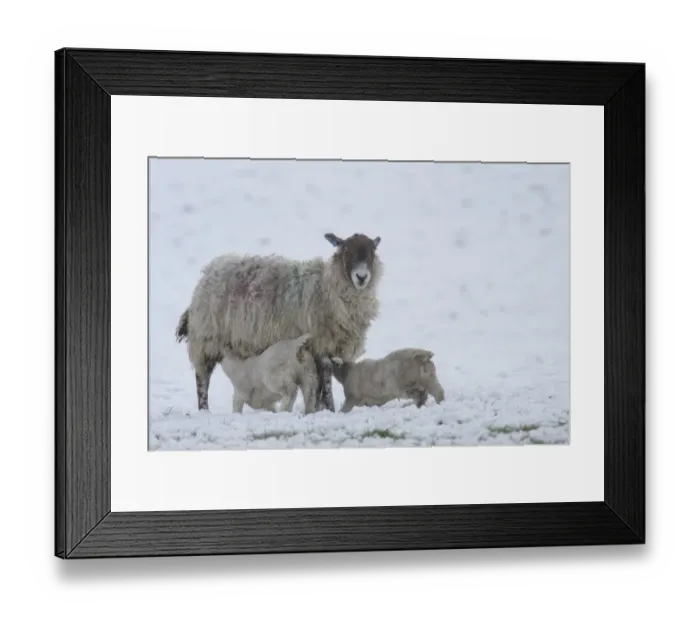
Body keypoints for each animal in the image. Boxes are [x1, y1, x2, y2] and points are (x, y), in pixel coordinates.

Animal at [175, 231, 383, 412]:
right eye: (345, 250)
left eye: (372, 251)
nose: (362, 277)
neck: (327, 288)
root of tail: (208, 273)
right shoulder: (320, 344)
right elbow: (325, 377)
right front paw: (328, 409)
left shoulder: (330, 346)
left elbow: (319, 382)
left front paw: (319, 409)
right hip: (206, 340)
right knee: (202, 378)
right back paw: (204, 410)